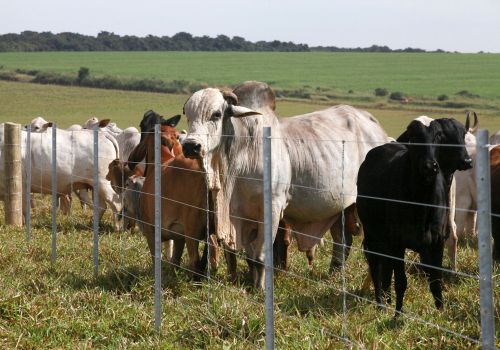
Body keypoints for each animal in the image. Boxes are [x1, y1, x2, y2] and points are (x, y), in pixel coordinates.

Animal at [182, 81, 388, 288]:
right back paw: (334, 275)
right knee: (342, 241)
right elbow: (251, 258)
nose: (191, 146)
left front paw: (260, 289)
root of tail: (374, 124)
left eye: (216, 114)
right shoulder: (245, 215)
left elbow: (261, 257)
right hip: (339, 208)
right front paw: (252, 284)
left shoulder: (272, 208)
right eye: (187, 115)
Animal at [358, 119, 470, 316]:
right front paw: (397, 315)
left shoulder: (436, 242)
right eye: (414, 137)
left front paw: (441, 312)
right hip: (372, 233)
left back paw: (386, 298)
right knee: (375, 263)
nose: (430, 166)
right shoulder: (398, 243)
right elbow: (401, 282)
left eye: (438, 137)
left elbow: (435, 281)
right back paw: (381, 302)